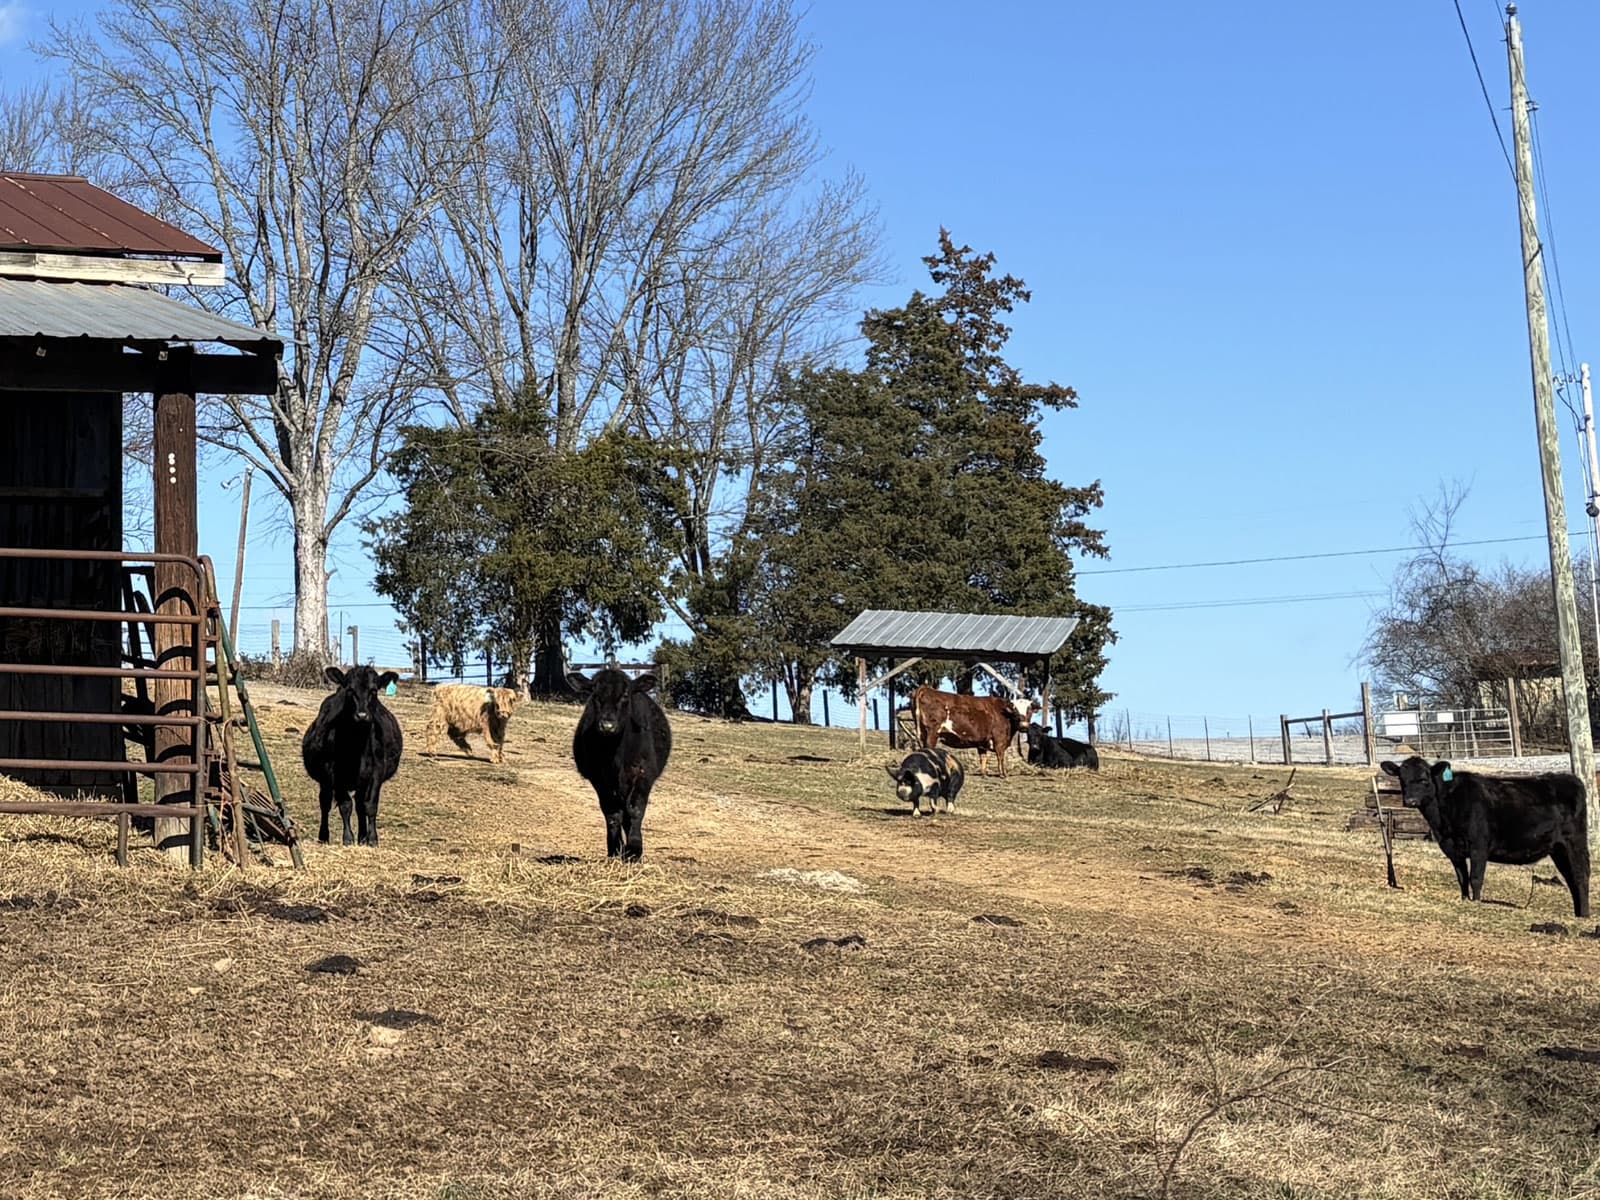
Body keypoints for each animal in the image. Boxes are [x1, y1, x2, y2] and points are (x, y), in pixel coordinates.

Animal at [302, 665, 403, 847]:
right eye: (350, 690)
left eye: (374, 690)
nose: (362, 716)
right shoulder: (335, 773)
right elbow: (345, 806)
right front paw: (348, 838)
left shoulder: (377, 772)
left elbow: (370, 805)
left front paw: (372, 839)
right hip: (324, 781)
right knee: (325, 803)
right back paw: (324, 836)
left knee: (360, 804)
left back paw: (362, 837)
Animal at [569, 668, 672, 862]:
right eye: (595, 694)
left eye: (625, 695)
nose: (607, 725)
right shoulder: (599, 780)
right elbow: (612, 813)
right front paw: (615, 849)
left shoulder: (643, 774)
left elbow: (636, 809)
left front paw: (634, 849)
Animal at [1380, 756, 1590, 917]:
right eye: (1401, 778)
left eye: (1424, 779)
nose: (1410, 801)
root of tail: (1570, 778)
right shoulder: (1451, 848)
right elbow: (1462, 878)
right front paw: (1465, 899)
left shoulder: (1478, 845)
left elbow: (1475, 877)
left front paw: (1476, 902)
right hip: (1558, 849)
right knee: (1571, 877)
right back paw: (1578, 914)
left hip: (1574, 842)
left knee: (1580, 875)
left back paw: (1584, 915)